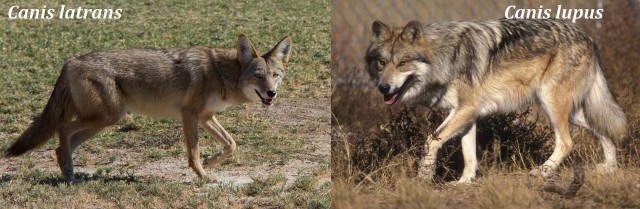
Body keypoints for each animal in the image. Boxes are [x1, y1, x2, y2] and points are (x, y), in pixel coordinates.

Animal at [2, 34, 292, 183]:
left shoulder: (206, 116)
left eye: (275, 75)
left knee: (62, 144)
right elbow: (193, 154)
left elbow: (231, 144)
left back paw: (68, 172)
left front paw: (211, 162)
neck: (222, 72)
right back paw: (69, 173)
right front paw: (203, 176)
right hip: (107, 117)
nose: (272, 93)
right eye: (258, 76)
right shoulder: (189, 115)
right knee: (62, 129)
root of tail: (70, 61)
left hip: (103, 121)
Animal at [364, 19, 632, 183]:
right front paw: (464, 182)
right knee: (605, 129)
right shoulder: (467, 115)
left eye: (402, 63)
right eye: (382, 63)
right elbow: (469, 154)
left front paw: (424, 176)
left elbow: (431, 139)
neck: (444, 57)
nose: (383, 88)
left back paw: (543, 172)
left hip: (552, 105)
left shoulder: (466, 110)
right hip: (573, 112)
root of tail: (588, 38)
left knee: (567, 142)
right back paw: (609, 167)